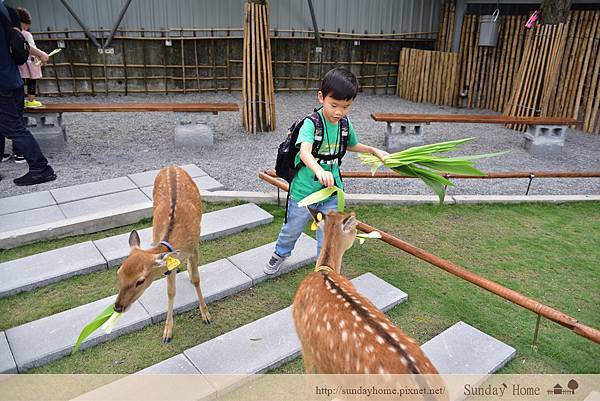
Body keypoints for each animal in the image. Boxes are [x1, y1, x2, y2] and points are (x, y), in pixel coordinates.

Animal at [113, 164, 210, 342]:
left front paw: (206, 315)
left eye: (140, 281)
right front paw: (167, 333)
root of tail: (172, 166)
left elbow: (197, 279)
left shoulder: (194, 248)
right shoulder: (169, 262)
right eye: (119, 272)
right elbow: (171, 291)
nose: (117, 307)